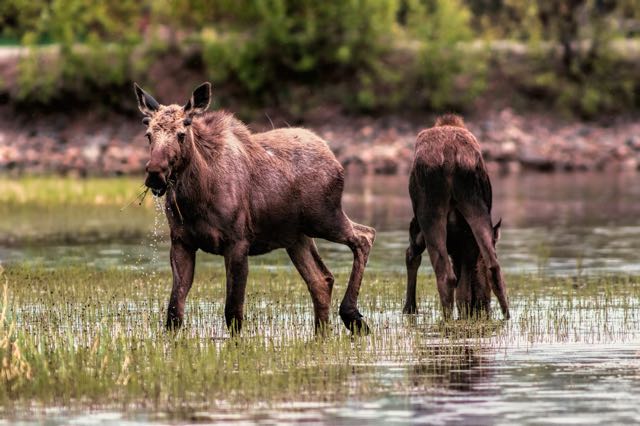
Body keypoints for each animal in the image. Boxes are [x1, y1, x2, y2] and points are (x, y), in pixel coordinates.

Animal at [134, 81, 376, 334]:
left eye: (181, 134)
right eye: (148, 135)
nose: (155, 174)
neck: (196, 200)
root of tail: (334, 157)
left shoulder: (238, 241)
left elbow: (233, 312)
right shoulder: (182, 242)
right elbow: (174, 311)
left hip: (325, 218)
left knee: (365, 236)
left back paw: (351, 315)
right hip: (297, 237)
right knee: (321, 280)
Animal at [404, 113, 510, 320]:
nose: (481, 306)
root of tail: (451, 156)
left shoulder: (417, 227)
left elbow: (411, 255)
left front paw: (409, 309)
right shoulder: (466, 242)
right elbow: (463, 291)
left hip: (430, 212)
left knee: (445, 275)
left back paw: (446, 321)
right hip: (476, 204)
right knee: (494, 267)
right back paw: (506, 316)